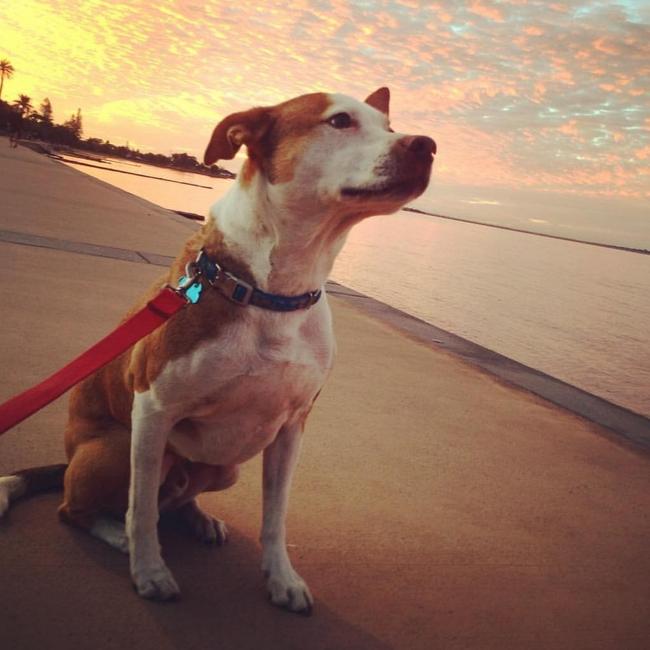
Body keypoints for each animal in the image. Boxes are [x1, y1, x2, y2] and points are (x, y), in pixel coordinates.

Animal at [1, 87, 436, 612]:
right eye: (340, 121)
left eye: (390, 126)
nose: (427, 145)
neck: (273, 292)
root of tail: (69, 459)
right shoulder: (153, 409)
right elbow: (141, 508)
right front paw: (149, 571)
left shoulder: (292, 427)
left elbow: (275, 515)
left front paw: (281, 578)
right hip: (117, 447)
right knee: (78, 507)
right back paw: (118, 536)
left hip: (224, 466)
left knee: (175, 499)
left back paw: (197, 518)